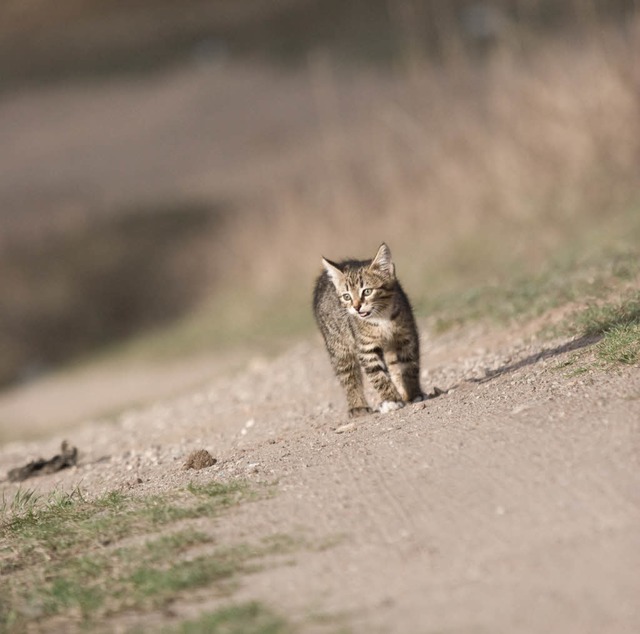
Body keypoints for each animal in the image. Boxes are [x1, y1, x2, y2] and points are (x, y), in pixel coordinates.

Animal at [312, 241, 422, 414]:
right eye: (347, 297)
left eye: (367, 291)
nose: (357, 307)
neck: (381, 317)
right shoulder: (366, 347)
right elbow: (378, 376)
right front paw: (391, 400)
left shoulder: (406, 336)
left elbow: (410, 365)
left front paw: (413, 394)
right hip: (339, 347)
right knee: (348, 376)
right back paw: (358, 406)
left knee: (393, 365)